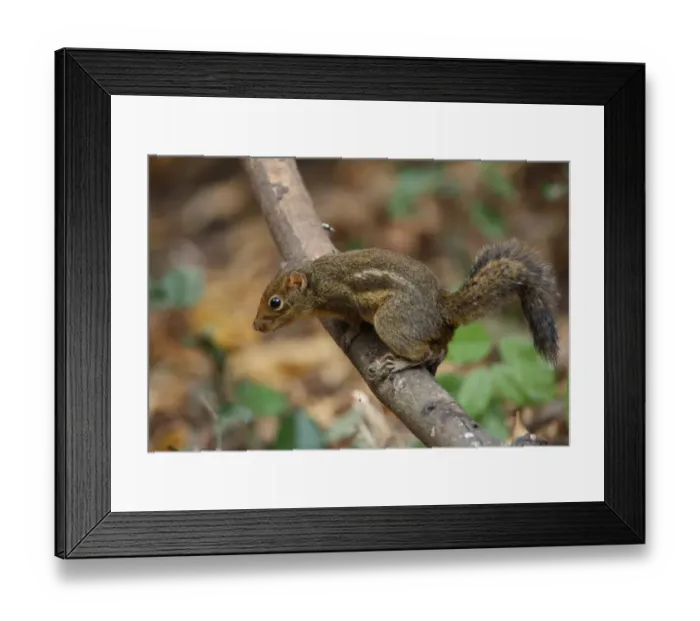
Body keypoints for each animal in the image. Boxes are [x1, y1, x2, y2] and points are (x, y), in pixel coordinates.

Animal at [252, 239, 559, 381]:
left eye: (275, 302)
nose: (256, 325)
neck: (317, 279)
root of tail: (441, 309)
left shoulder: (345, 299)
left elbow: (354, 319)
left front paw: (350, 334)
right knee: (441, 349)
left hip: (390, 321)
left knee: (423, 351)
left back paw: (400, 363)